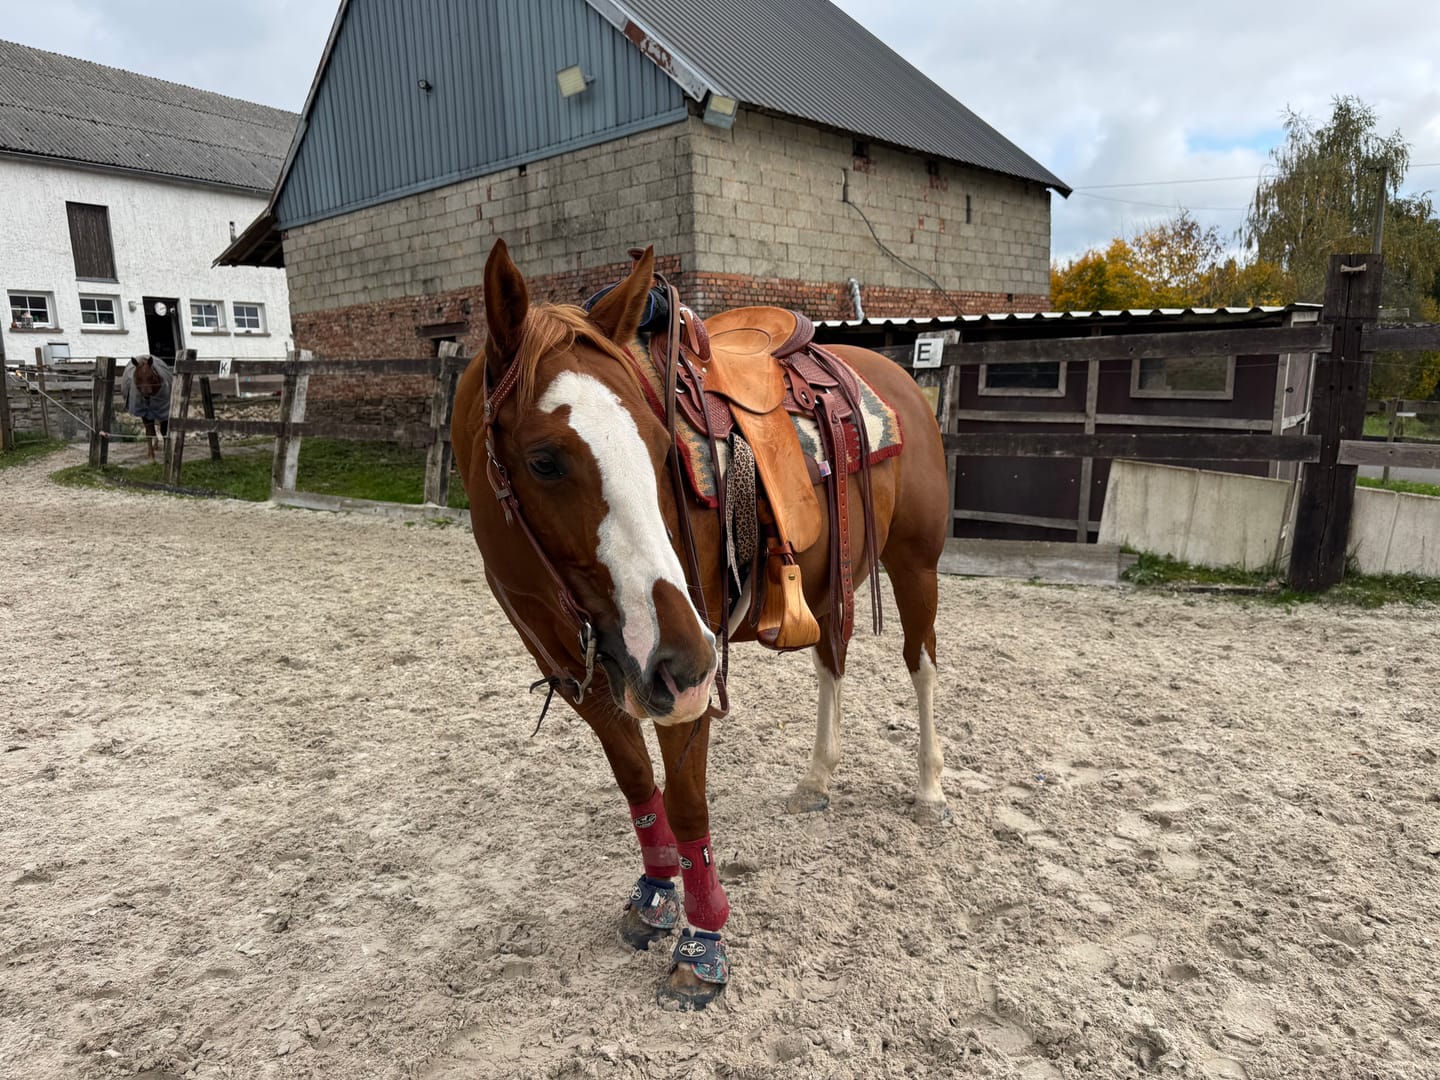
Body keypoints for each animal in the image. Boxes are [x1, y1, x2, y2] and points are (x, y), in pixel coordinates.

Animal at [450, 239, 951, 1010]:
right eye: (544, 459)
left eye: (664, 447)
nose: (683, 660)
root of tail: (896, 377)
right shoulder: (583, 676)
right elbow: (637, 785)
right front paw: (654, 893)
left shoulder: (686, 683)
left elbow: (687, 805)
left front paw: (702, 942)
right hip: (827, 582)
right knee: (831, 661)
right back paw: (817, 781)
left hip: (915, 565)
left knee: (920, 664)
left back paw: (929, 789)